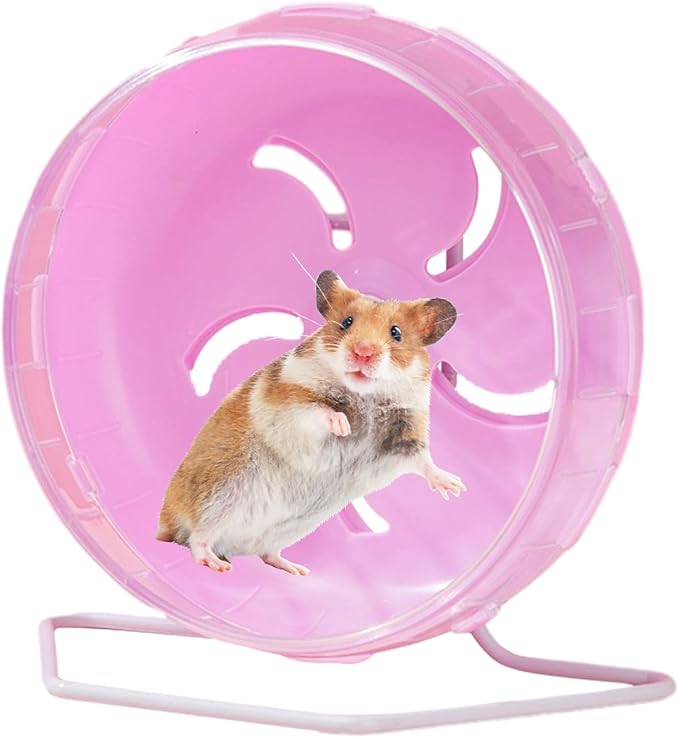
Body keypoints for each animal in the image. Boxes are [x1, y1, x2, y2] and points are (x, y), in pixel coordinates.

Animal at [156, 270, 466, 575]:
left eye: (396, 333)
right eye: (346, 323)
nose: (363, 352)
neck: (365, 396)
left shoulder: (405, 434)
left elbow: (423, 460)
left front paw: (455, 487)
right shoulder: (289, 404)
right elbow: (319, 411)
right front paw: (344, 426)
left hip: (284, 529)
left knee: (265, 554)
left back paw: (297, 569)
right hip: (217, 498)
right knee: (196, 539)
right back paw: (217, 564)